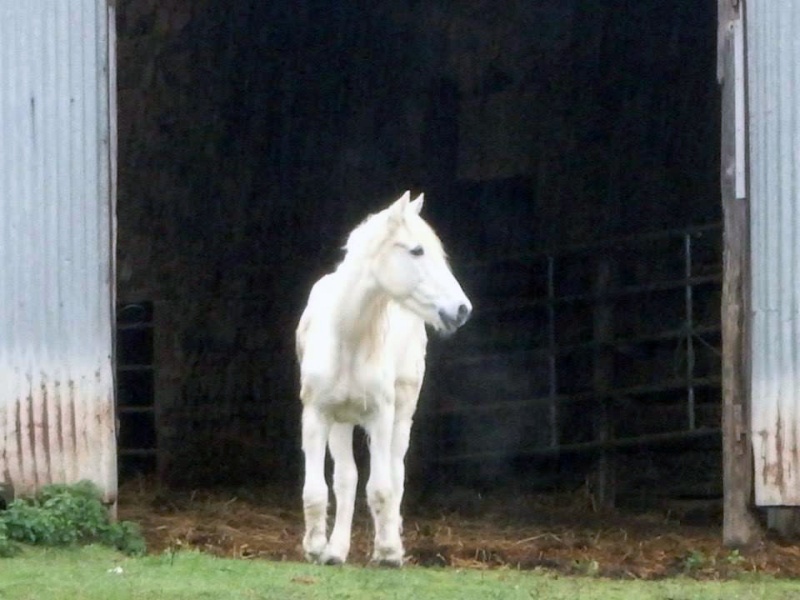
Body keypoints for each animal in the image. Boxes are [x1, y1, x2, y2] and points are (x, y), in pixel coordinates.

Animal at [294, 190, 468, 564]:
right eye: (416, 250)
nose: (461, 310)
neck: (348, 337)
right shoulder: (316, 414)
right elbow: (317, 489)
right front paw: (316, 548)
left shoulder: (381, 415)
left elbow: (382, 487)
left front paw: (387, 552)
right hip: (342, 420)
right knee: (346, 478)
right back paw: (336, 550)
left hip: (401, 414)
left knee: (395, 474)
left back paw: (390, 546)